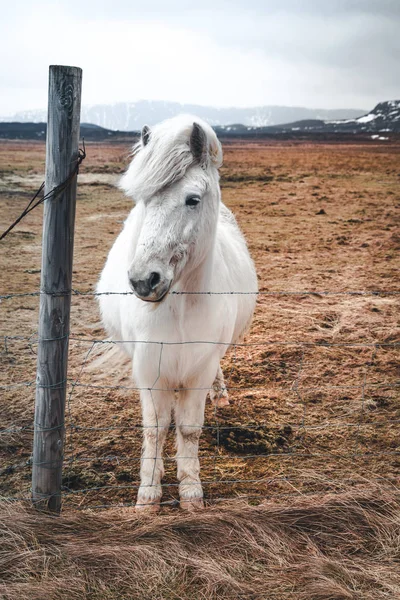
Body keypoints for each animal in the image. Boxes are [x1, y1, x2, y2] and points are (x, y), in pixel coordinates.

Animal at [98, 115, 258, 508]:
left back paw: (221, 393)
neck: (180, 306)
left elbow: (188, 429)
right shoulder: (149, 368)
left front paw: (190, 491)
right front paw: (148, 495)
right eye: (145, 201)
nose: (144, 280)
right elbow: (156, 429)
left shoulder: (200, 366)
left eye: (192, 199)